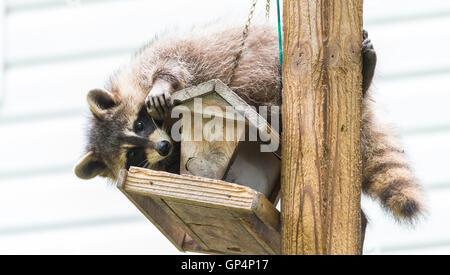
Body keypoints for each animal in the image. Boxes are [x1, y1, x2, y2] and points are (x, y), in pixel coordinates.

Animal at [74, 22, 426, 224]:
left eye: (139, 125)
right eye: (132, 155)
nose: (161, 146)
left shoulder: (161, 57)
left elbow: (172, 62)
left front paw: (162, 84)